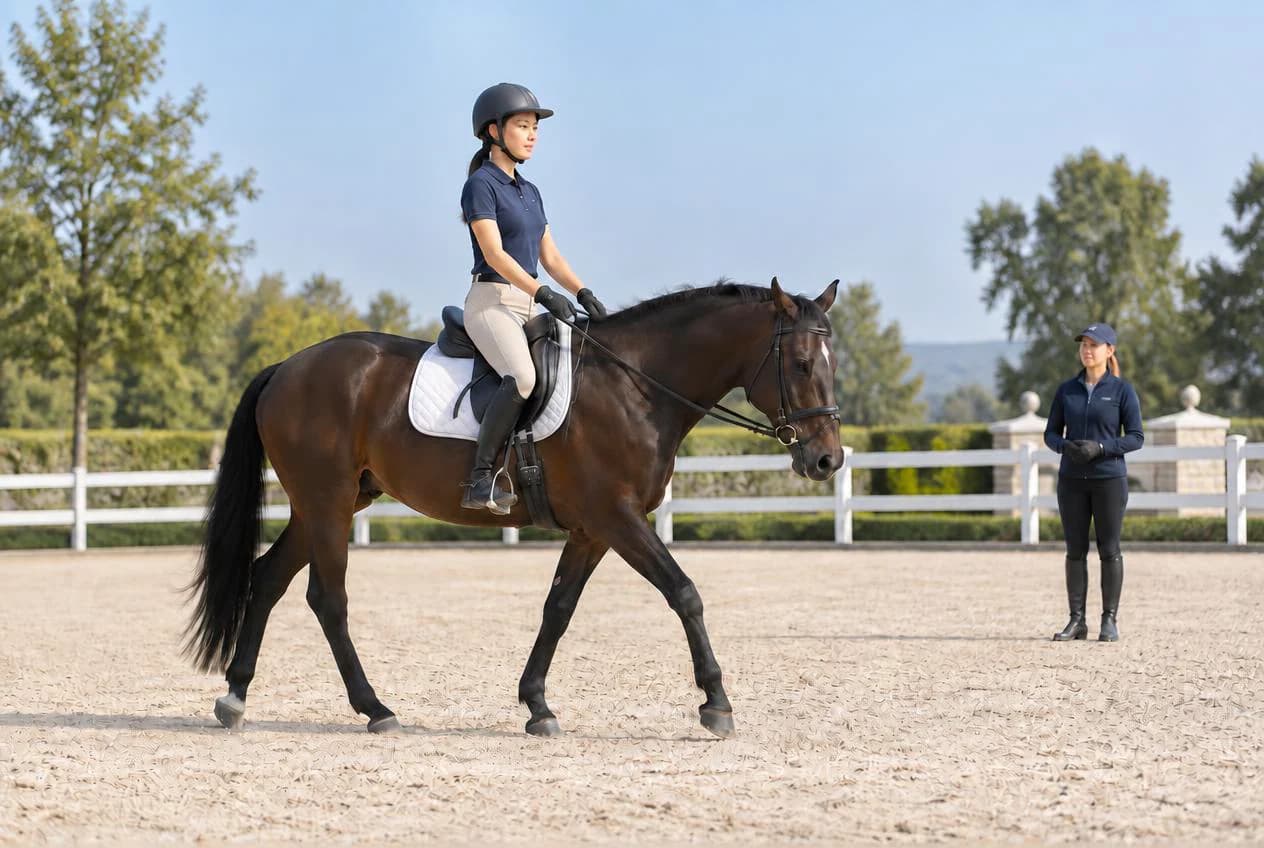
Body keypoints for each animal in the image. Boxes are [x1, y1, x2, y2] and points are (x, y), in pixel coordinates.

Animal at [185, 278, 843, 737]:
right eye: (801, 365)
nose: (826, 461)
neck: (635, 388)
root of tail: (287, 367)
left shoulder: (593, 530)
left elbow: (558, 608)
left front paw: (537, 706)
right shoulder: (618, 517)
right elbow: (684, 592)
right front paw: (716, 703)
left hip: (329, 504)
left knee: (268, 577)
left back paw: (235, 697)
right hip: (325, 503)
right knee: (328, 599)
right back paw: (375, 708)